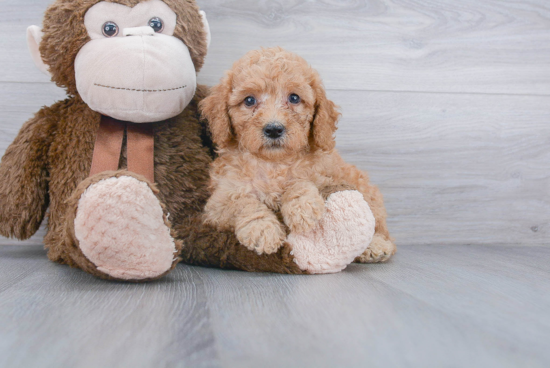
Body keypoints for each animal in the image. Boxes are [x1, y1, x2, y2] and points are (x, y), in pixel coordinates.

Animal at [202, 47, 396, 264]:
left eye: (294, 98)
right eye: (249, 100)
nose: (274, 129)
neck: (273, 164)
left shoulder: (327, 179)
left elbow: (300, 182)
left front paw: (302, 208)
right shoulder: (217, 204)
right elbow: (243, 203)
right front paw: (263, 230)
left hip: (366, 190)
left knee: (381, 229)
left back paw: (375, 246)